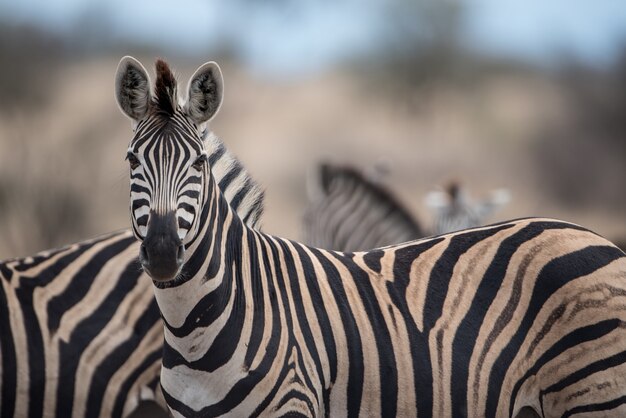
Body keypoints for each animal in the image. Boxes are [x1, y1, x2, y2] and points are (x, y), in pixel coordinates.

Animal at [116, 56, 624, 418]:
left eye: (199, 163)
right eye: (131, 161)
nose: (163, 253)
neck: (194, 328)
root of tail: (592, 235)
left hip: (597, 394)